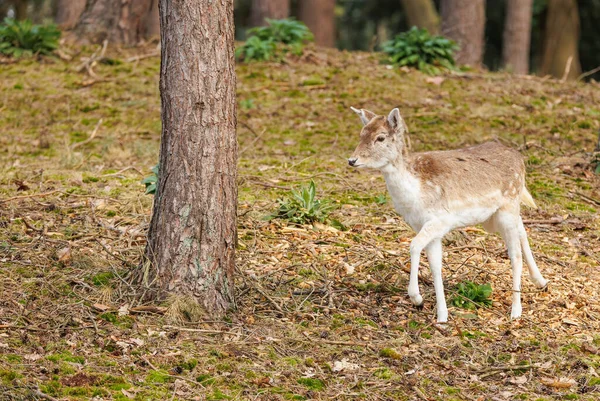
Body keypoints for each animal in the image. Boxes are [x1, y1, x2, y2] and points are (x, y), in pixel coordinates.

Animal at [346, 106, 548, 322]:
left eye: (381, 137)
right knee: (522, 229)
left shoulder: (439, 220)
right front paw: (442, 315)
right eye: (361, 134)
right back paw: (540, 281)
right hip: (496, 216)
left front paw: (417, 298)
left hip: (507, 207)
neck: (415, 192)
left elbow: (414, 245)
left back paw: (516, 310)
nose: (352, 160)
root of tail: (519, 158)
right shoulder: (425, 226)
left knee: (515, 254)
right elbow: (436, 266)